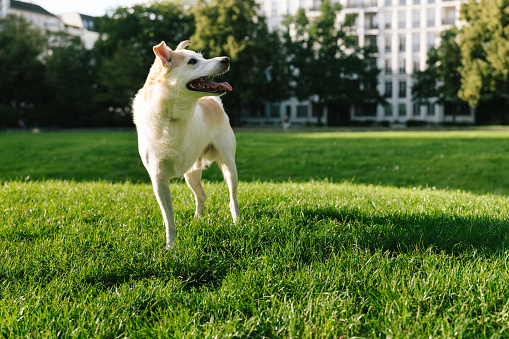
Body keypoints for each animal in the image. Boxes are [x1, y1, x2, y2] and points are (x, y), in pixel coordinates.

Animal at [133, 40, 240, 250]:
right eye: (192, 61)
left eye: (202, 57)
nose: (226, 59)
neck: (170, 116)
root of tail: (213, 102)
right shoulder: (158, 180)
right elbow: (169, 218)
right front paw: (170, 246)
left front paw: (170, 246)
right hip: (191, 174)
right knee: (201, 196)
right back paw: (197, 220)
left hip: (229, 167)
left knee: (233, 200)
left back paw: (237, 223)